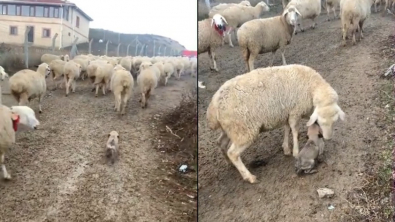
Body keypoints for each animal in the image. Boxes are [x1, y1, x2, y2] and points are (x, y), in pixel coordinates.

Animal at [209, 63, 344, 182]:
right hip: (244, 130)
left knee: (221, 143)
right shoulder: (295, 111)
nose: (327, 137)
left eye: (334, 121)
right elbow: (295, 131)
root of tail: (214, 105)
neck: (312, 86)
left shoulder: (287, 112)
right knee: (233, 153)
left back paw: (229, 163)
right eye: (320, 121)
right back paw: (249, 177)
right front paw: (295, 151)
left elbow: (287, 129)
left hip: (231, 128)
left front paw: (286, 148)